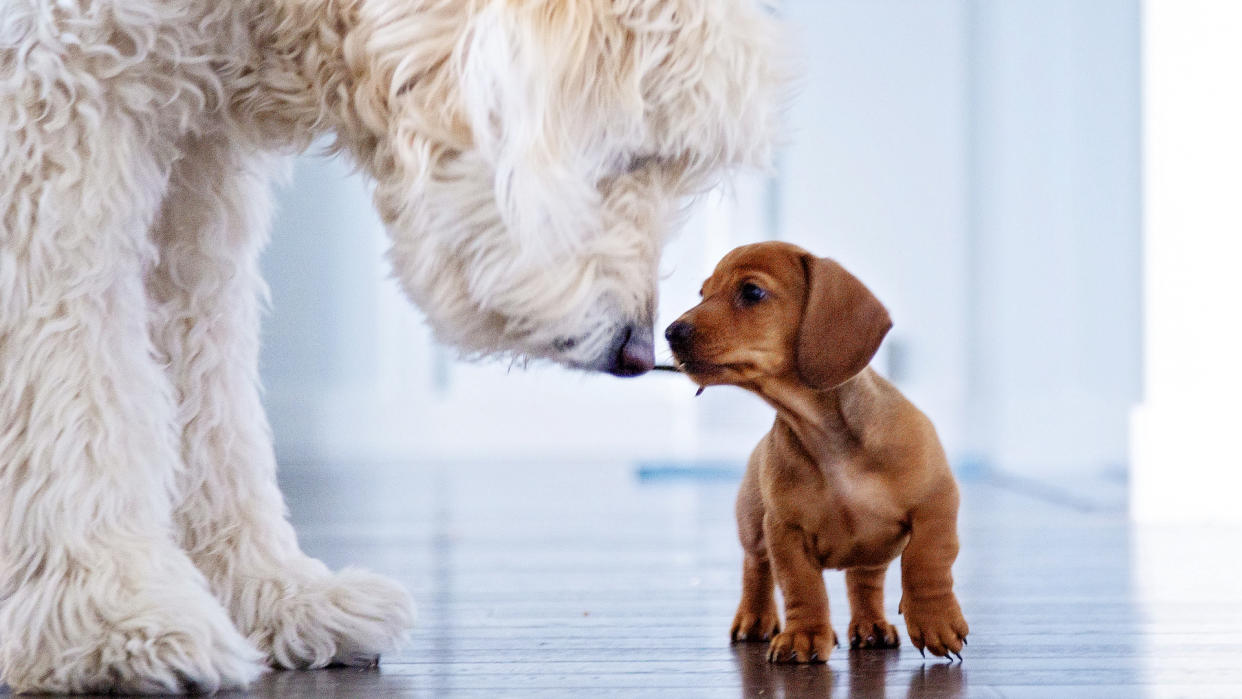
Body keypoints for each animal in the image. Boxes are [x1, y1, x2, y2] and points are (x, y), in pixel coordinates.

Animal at [0, 0, 775, 690]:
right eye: (633, 154)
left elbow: (208, 397)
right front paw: (111, 622)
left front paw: (269, 593)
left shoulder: (196, 168)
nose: (638, 352)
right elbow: (68, 375)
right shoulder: (50, 98)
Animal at [670, 243, 968, 665]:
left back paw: (871, 626)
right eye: (703, 293)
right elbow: (801, 585)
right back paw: (754, 618)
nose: (670, 332)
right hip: (753, 528)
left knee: (864, 584)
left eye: (751, 292)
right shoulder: (784, 531)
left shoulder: (936, 502)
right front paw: (805, 634)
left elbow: (927, 559)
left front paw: (934, 620)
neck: (823, 435)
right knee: (756, 570)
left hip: (871, 551)